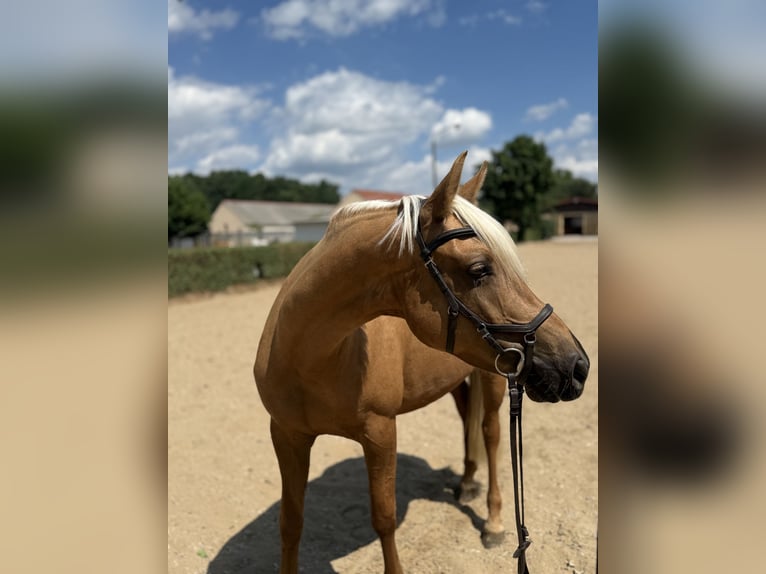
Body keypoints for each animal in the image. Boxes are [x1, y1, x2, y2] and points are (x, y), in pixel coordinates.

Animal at [254, 151, 590, 574]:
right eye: (479, 269)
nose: (577, 365)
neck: (313, 360)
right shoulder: (286, 435)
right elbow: (291, 522)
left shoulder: (380, 432)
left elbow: (384, 518)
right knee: (467, 421)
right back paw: (467, 481)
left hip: (494, 378)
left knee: (491, 434)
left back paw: (494, 523)